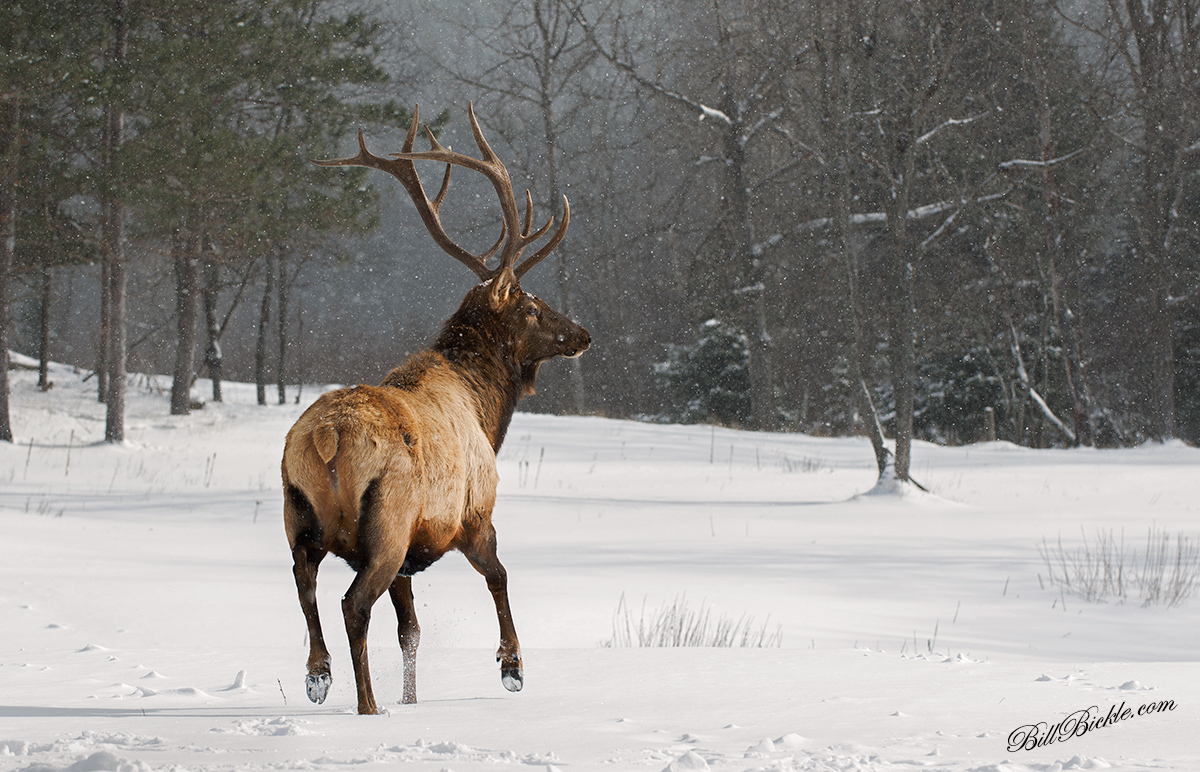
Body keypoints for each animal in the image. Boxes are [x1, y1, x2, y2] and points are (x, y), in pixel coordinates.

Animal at [282, 103, 590, 715]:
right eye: (531, 305)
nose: (583, 333)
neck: (488, 412)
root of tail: (326, 439)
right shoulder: (473, 514)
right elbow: (499, 576)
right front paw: (512, 667)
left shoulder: (409, 559)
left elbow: (412, 630)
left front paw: (413, 701)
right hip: (388, 522)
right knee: (353, 604)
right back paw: (366, 705)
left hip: (297, 514)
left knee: (305, 586)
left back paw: (319, 676)